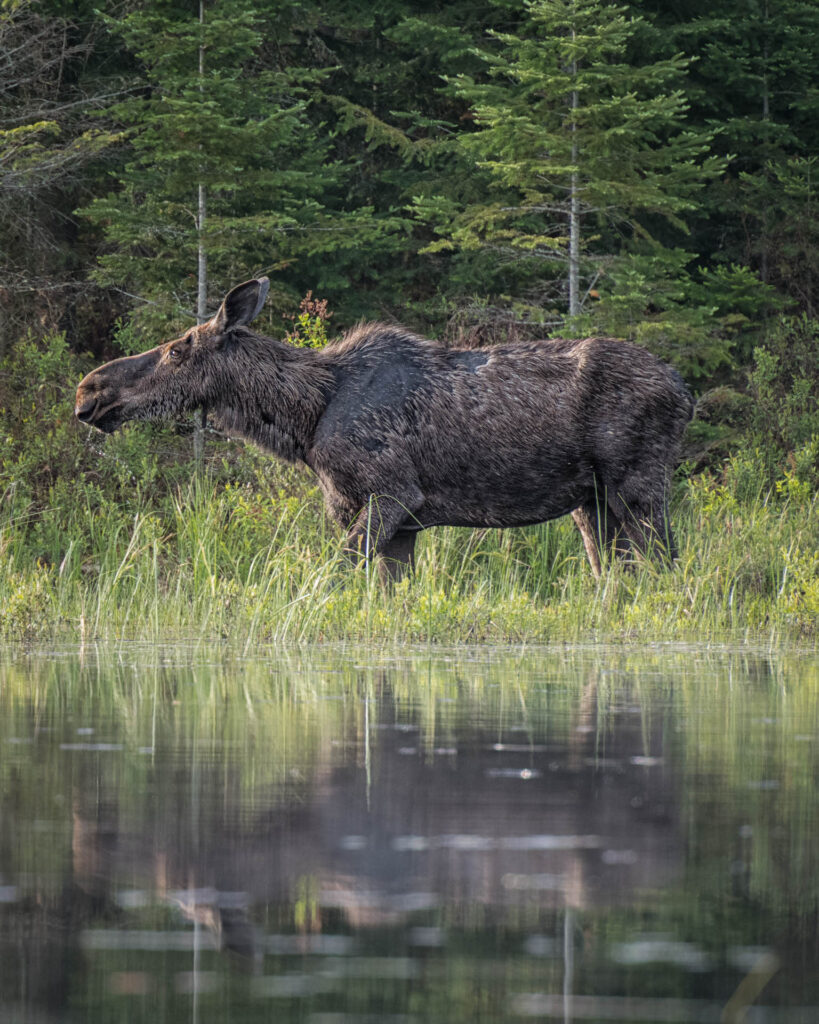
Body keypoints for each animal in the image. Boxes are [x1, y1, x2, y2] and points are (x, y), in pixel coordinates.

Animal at [75, 276, 692, 581]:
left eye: (177, 350)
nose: (90, 391)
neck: (303, 419)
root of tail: (686, 393)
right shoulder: (402, 523)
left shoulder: (391, 494)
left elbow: (338, 576)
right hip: (591, 502)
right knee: (618, 577)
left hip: (638, 486)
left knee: (667, 565)